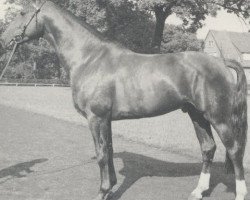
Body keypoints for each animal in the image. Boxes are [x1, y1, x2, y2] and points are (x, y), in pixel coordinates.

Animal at [0, 0, 248, 199]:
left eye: (22, 12)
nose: (4, 40)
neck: (89, 58)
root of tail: (221, 62)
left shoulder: (96, 117)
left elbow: (101, 153)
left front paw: (102, 192)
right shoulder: (106, 119)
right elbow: (109, 149)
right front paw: (111, 187)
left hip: (218, 117)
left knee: (234, 150)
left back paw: (239, 193)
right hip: (197, 114)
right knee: (208, 148)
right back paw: (198, 191)